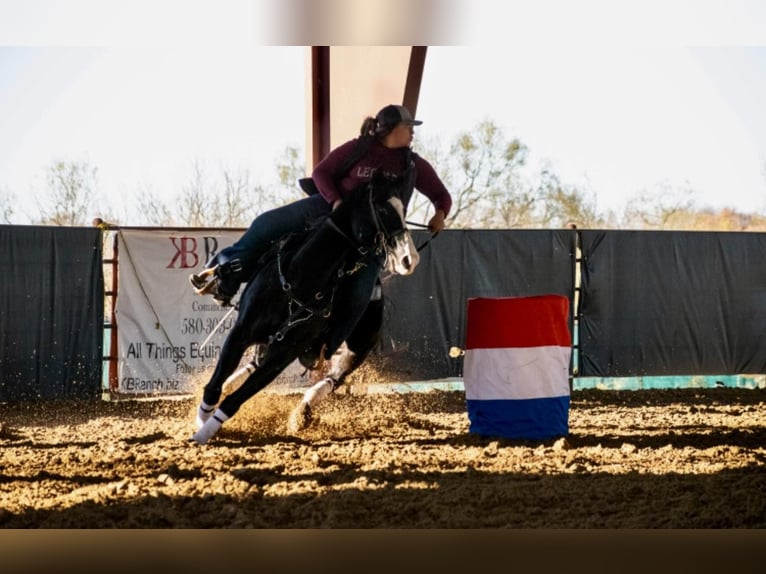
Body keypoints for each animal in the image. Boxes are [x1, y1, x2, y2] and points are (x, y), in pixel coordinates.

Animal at [190, 173, 420, 448]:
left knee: (334, 378)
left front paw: (204, 434)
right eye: (383, 208)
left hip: (360, 346)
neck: (301, 277)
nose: (408, 259)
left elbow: (236, 399)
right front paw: (201, 422)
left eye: (403, 208)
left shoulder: (284, 354)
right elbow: (214, 386)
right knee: (251, 365)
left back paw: (302, 414)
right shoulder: (241, 332)